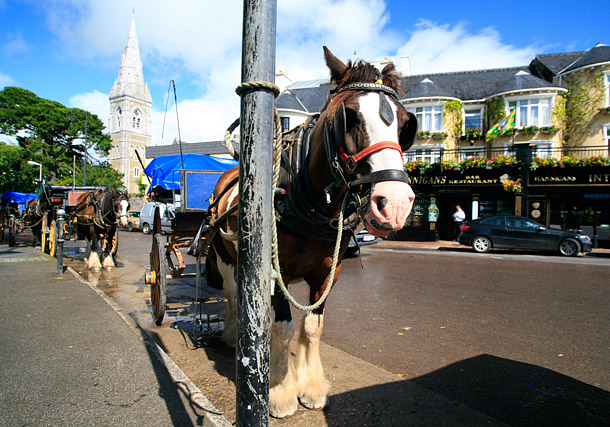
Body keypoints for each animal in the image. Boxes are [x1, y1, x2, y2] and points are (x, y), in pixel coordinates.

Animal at [207, 47, 416, 418]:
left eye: (405, 124)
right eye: (350, 116)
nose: (394, 204)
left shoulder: (328, 271)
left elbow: (312, 326)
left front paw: (312, 385)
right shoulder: (275, 270)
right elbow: (283, 325)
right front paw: (280, 390)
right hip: (224, 255)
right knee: (232, 293)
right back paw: (232, 337)